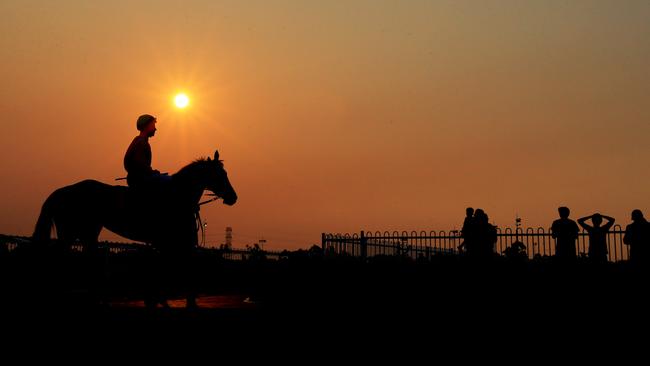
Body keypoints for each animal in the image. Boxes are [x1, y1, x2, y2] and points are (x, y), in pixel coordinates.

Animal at [31, 150, 237, 308]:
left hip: (88, 232)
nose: (233, 197)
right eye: (221, 174)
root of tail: (62, 191)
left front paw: (158, 298)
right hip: (70, 232)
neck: (176, 196)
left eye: (226, 173)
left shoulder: (167, 243)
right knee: (61, 257)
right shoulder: (168, 242)